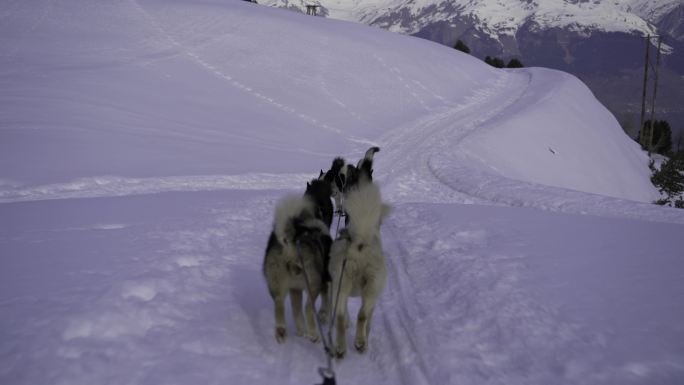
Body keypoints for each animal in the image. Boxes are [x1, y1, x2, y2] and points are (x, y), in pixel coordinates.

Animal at [262, 196, 332, 344]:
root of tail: (291, 242)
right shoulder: (324, 283)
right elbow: (325, 301)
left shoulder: (295, 289)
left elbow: (296, 311)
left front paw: (300, 331)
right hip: (313, 284)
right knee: (308, 308)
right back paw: (314, 334)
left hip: (277, 283)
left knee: (279, 303)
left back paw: (281, 331)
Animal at [330, 180, 390, 356]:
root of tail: (360, 243)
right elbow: (368, 321)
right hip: (369, 288)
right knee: (362, 315)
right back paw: (361, 343)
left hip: (342, 285)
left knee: (341, 316)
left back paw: (340, 348)